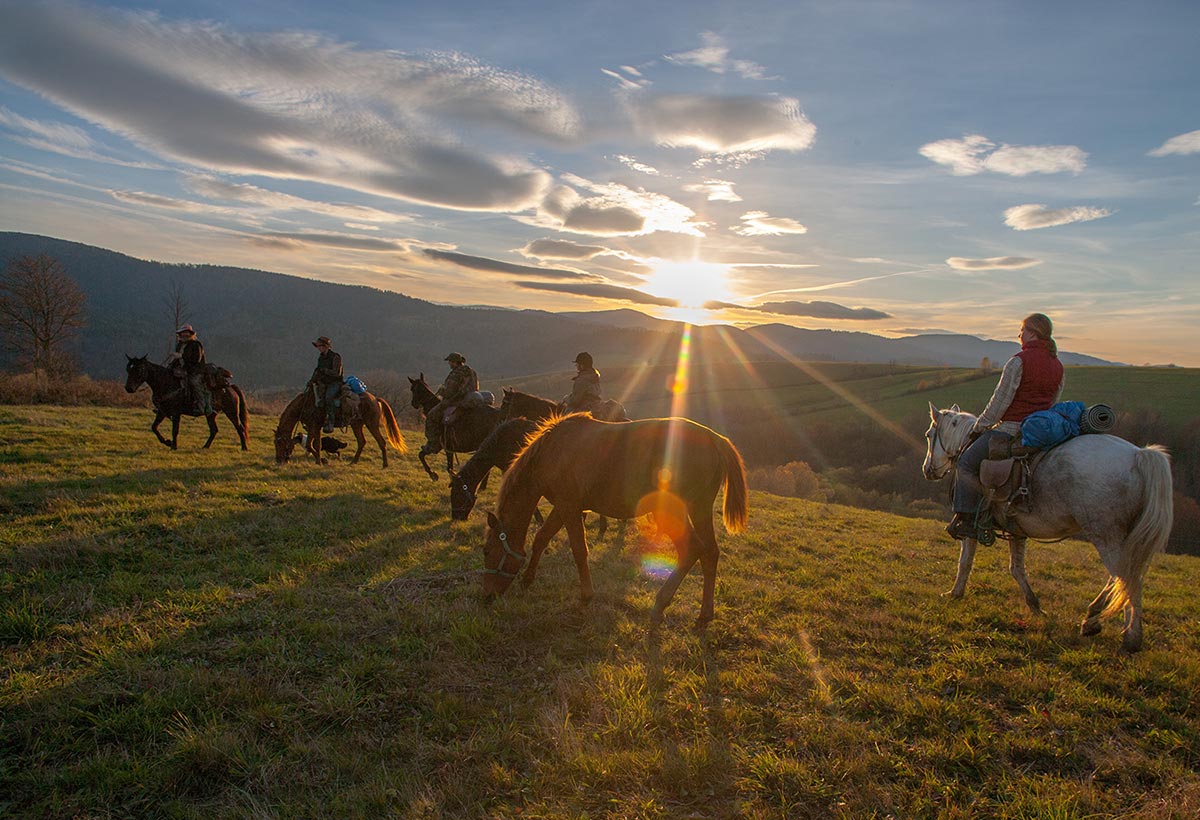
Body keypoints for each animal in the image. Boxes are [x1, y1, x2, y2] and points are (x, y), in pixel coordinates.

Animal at [274, 386, 405, 468]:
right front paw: (319, 461)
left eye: (279, 443)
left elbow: (310, 445)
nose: (278, 460)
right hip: (356, 424)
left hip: (371, 424)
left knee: (381, 442)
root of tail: (375, 399)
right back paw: (353, 462)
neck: (304, 405)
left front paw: (322, 461)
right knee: (361, 442)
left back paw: (385, 465)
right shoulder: (316, 427)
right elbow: (317, 445)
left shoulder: (313, 426)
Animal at [482, 413, 744, 633]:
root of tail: (714, 439)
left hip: (673, 513)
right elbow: (541, 538)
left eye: (487, 552)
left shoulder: (569, 507)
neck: (552, 451)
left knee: (691, 549)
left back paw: (660, 604)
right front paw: (527, 579)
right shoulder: (562, 507)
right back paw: (704, 615)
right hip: (699, 510)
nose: (487, 597)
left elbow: (579, 550)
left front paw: (586, 596)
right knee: (710, 553)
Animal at [926, 400, 1171, 653]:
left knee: (1126, 580)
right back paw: (1092, 618)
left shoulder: (971, 522)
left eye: (929, 435)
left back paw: (1130, 636)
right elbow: (1016, 569)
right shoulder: (1016, 530)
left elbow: (965, 561)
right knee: (1124, 578)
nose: (928, 469)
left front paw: (954, 593)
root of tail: (1138, 454)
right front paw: (1035, 605)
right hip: (1126, 539)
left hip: (1106, 536)